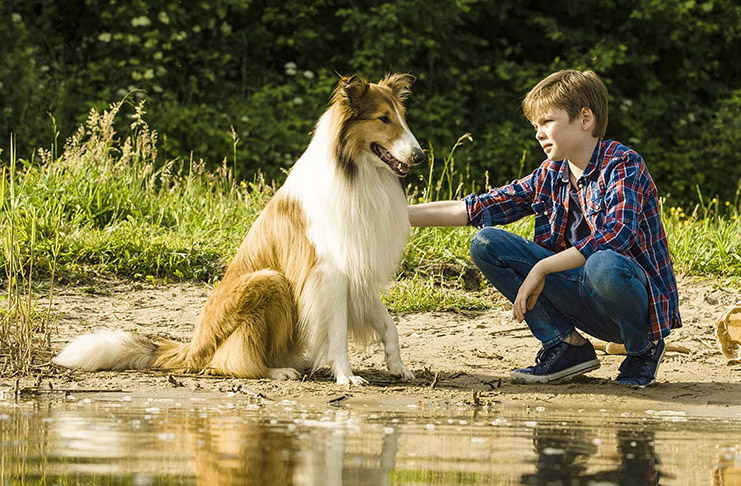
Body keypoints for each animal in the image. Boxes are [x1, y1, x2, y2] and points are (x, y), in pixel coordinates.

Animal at [53, 73, 422, 384]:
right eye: (383, 119)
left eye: (403, 118)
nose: (420, 155)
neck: (356, 172)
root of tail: (195, 346)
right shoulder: (330, 270)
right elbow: (338, 332)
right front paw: (345, 376)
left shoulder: (358, 267)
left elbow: (389, 324)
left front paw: (398, 366)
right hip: (268, 280)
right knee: (231, 361)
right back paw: (278, 371)